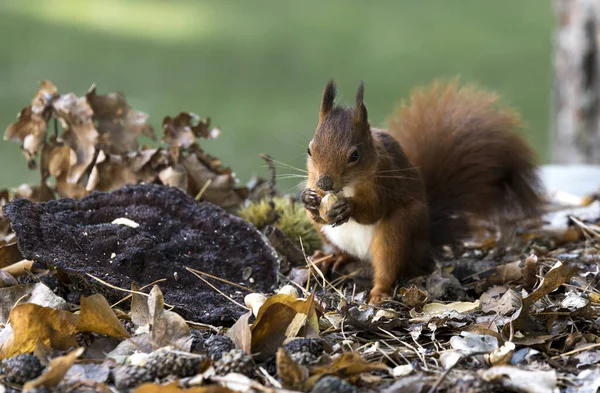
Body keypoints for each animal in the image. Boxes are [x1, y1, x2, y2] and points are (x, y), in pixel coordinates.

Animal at [302, 77, 540, 304]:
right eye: (309, 150)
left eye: (354, 155)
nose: (324, 184)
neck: (346, 188)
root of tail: (425, 243)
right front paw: (309, 200)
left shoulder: (385, 180)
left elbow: (374, 210)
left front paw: (347, 207)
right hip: (329, 235)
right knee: (346, 253)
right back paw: (331, 259)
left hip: (397, 230)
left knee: (388, 267)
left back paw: (378, 293)